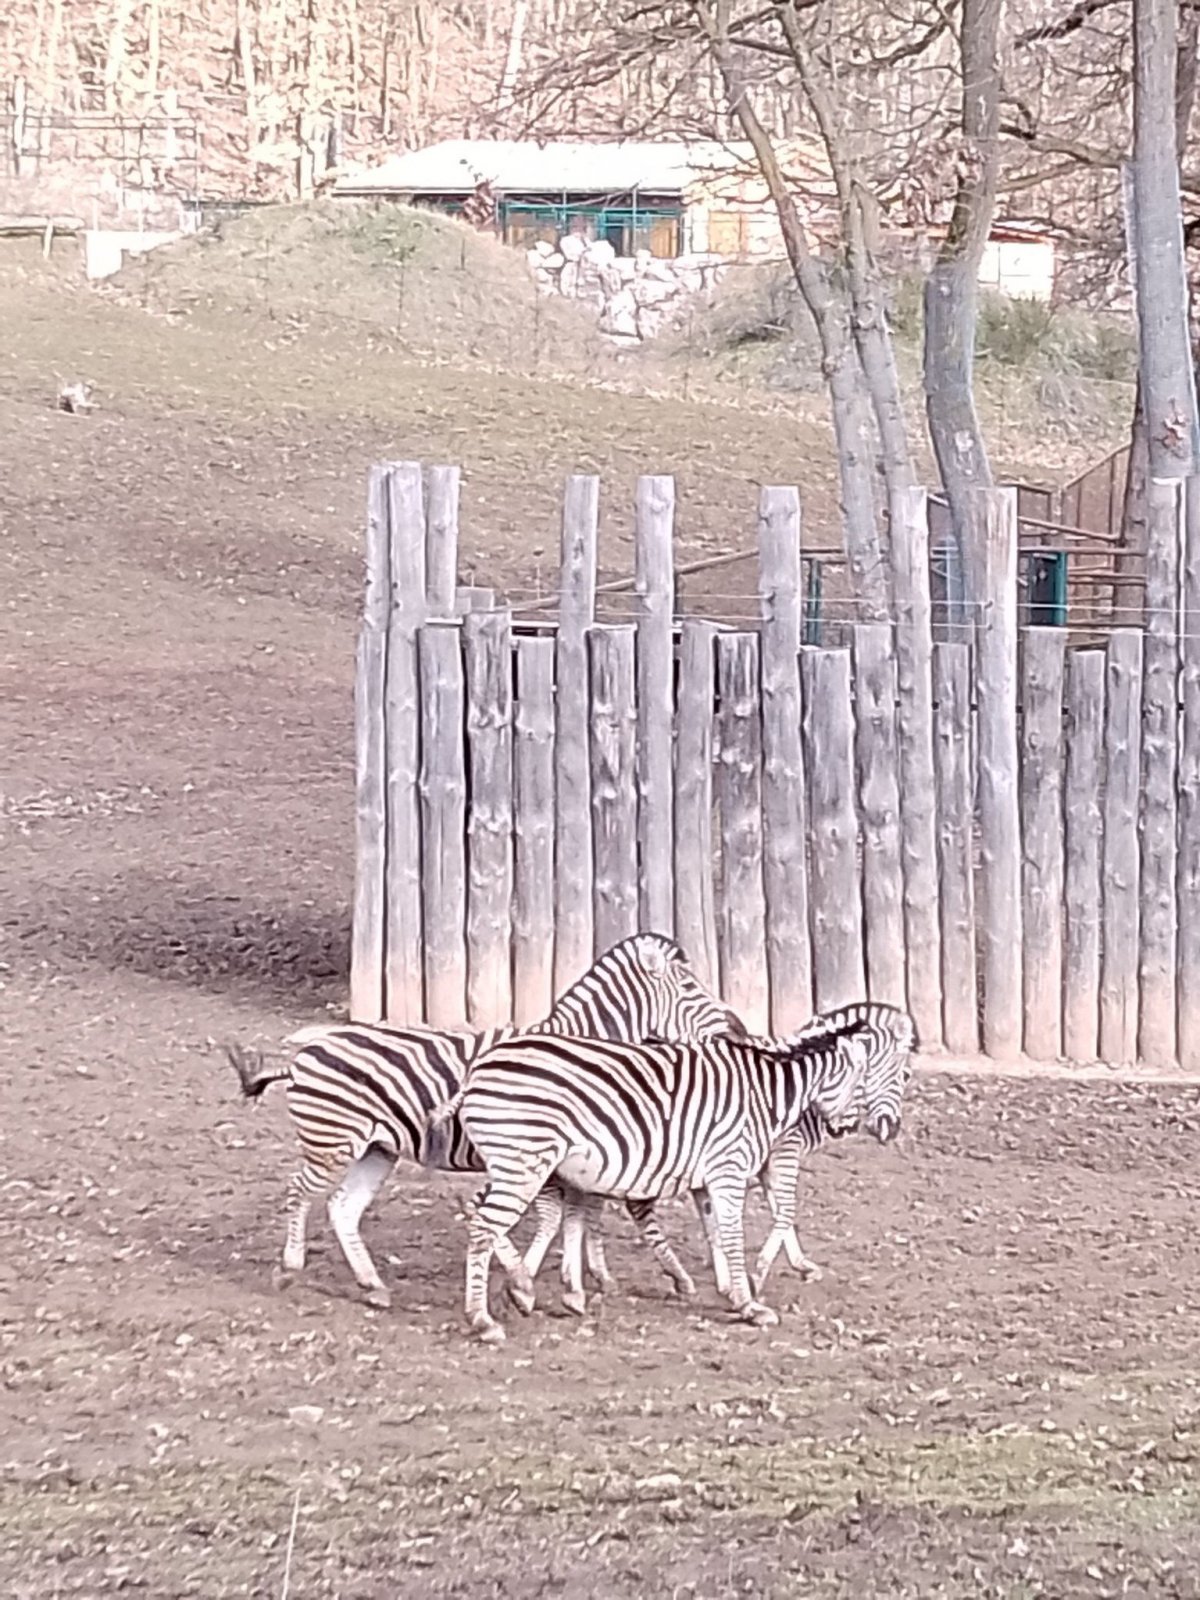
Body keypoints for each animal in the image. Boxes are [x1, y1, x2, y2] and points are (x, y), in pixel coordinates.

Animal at [226, 932, 746, 1310]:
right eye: (690, 987)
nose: (738, 1027)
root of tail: (302, 1054)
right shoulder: (545, 1155)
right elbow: (553, 1217)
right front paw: (528, 1281)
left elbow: (578, 1214)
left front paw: (578, 1279)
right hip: (332, 1143)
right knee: (299, 1192)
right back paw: (290, 1268)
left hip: (376, 1150)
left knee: (341, 1208)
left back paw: (372, 1285)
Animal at [442, 1010, 914, 1342]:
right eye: (883, 1076)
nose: (851, 1126)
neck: (766, 1093)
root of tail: (478, 1069)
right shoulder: (731, 1167)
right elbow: (741, 1231)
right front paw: (751, 1301)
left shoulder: (710, 1177)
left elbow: (716, 1231)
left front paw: (732, 1291)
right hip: (524, 1160)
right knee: (484, 1226)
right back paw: (484, 1319)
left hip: (533, 1162)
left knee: (509, 1217)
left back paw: (533, 1290)